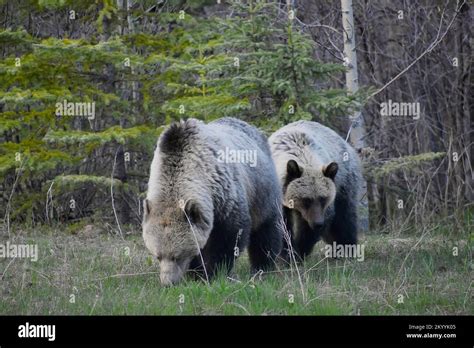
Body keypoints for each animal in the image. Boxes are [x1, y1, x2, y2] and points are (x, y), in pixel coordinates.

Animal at [143, 117, 284, 286]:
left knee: (265, 231)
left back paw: (262, 267)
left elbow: (228, 238)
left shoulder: (225, 196)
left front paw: (213, 272)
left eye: (177, 256)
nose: (168, 282)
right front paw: (196, 273)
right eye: (157, 255)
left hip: (262, 191)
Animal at [268, 121, 362, 260]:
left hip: (344, 182)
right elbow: (282, 225)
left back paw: (345, 248)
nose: (318, 223)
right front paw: (287, 255)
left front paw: (299, 252)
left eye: (323, 198)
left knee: (344, 217)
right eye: (306, 199)